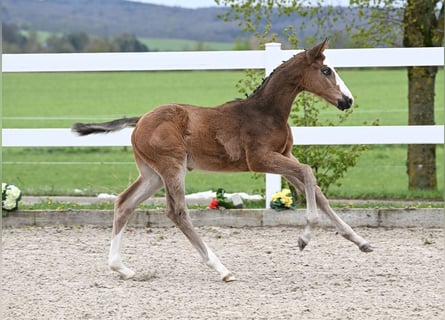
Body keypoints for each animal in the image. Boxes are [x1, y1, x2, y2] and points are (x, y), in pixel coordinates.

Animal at [73, 40, 372, 282]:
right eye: (326, 71)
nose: (347, 100)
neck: (266, 112)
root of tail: (140, 120)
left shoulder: (284, 155)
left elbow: (317, 191)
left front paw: (361, 242)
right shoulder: (260, 160)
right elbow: (309, 173)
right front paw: (304, 237)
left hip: (152, 174)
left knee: (124, 203)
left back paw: (122, 268)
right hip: (172, 167)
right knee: (176, 211)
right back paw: (221, 269)